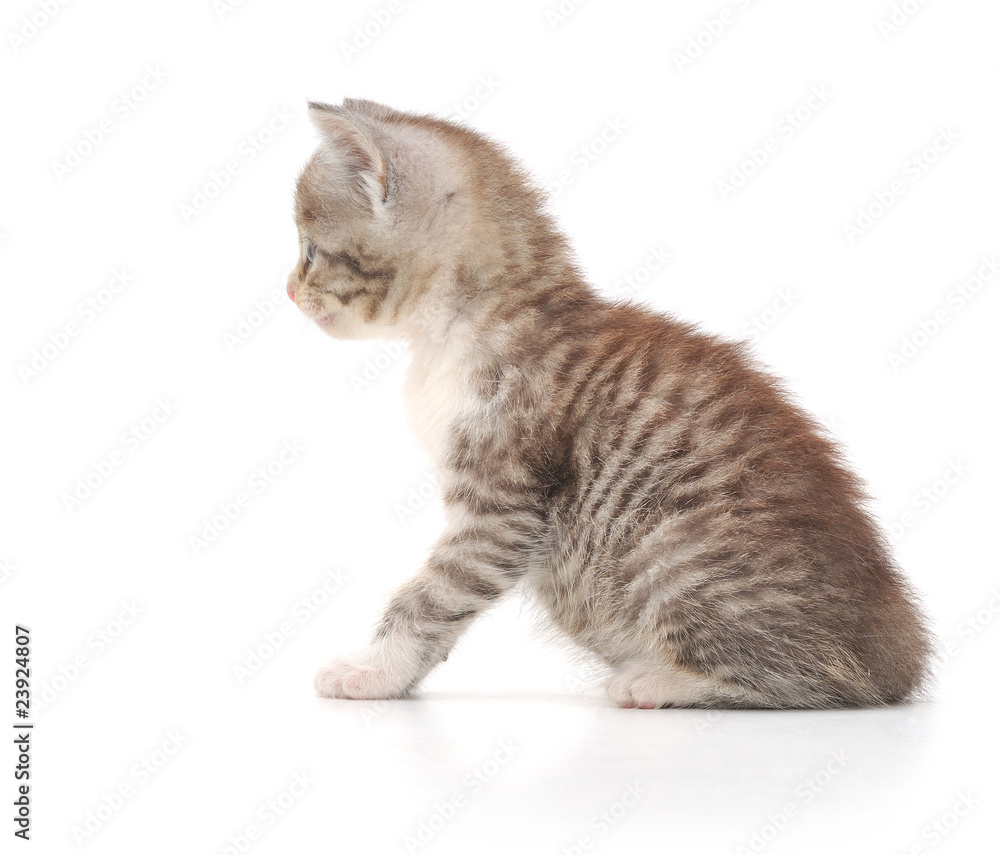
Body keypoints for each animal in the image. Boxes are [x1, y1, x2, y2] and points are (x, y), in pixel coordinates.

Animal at [290, 97, 928, 708]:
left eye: (310, 251)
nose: (290, 291)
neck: (461, 330)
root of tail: (897, 654)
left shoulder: (502, 505)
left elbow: (435, 593)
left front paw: (373, 670)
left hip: (672, 550)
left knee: (813, 677)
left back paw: (658, 680)